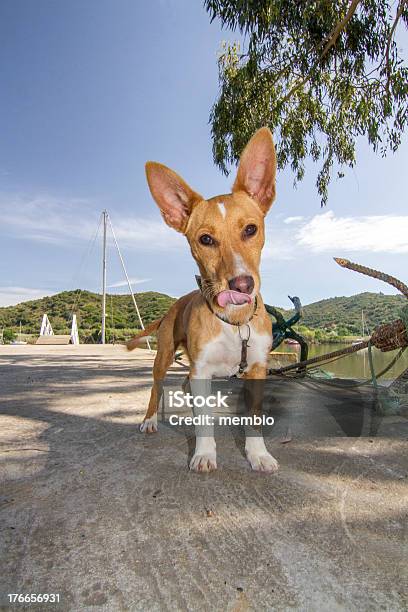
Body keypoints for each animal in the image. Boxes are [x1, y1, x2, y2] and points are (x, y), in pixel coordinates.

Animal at [129, 128, 278, 474]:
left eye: (251, 229)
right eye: (205, 239)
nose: (242, 285)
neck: (235, 324)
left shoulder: (257, 369)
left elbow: (253, 418)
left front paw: (258, 454)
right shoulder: (202, 370)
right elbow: (205, 422)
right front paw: (205, 453)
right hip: (163, 357)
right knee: (156, 387)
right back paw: (150, 420)